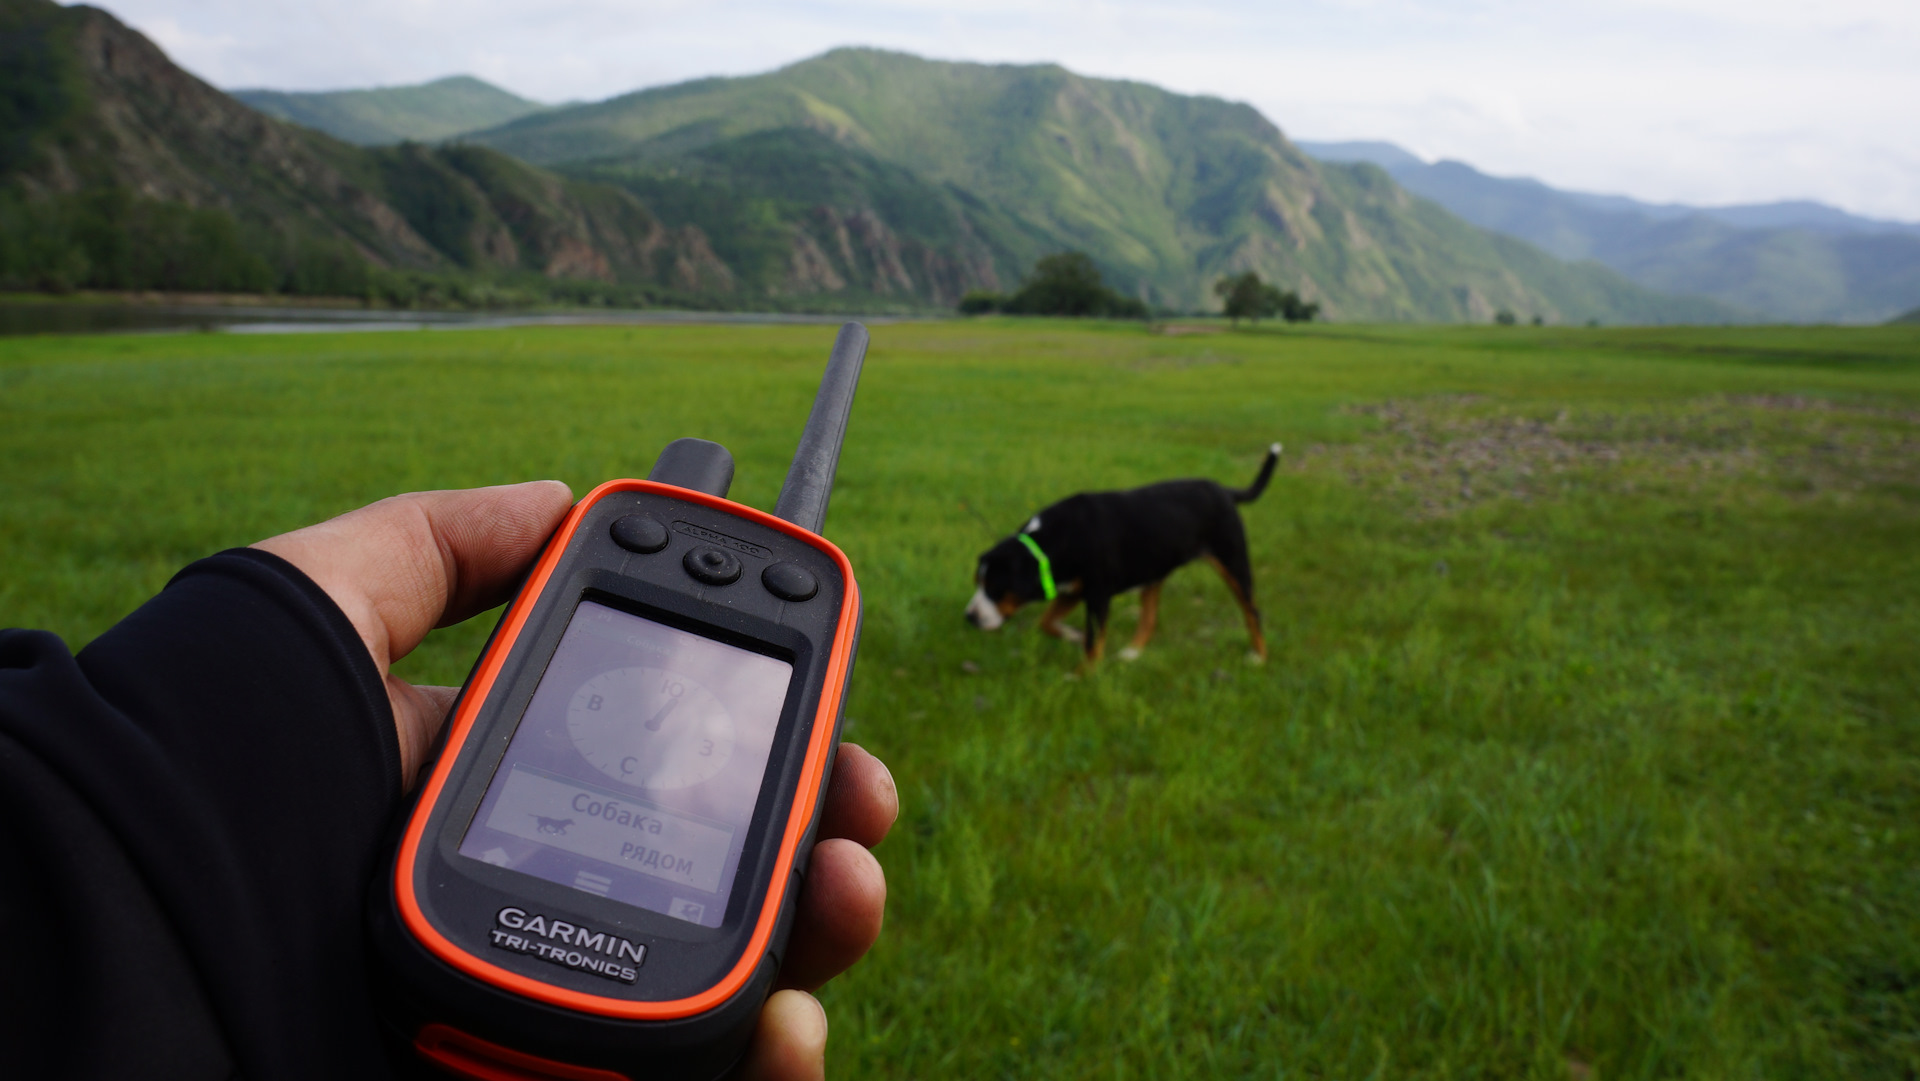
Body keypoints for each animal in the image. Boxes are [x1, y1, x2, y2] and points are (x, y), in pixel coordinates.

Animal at [967, 445, 1282, 668]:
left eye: (995, 588)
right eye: (977, 583)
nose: (969, 617)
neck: (1060, 537)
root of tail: (1223, 490)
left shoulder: (1097, 595)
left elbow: (1093, 643)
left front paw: (1081, 676)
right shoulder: (1073, 590)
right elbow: (1046, 622)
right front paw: (1073, 636)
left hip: (1233, 564)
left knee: (1252, 611)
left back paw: (1259, 657)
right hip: (1153, 570)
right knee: (1150, 618)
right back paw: (1131, 653)